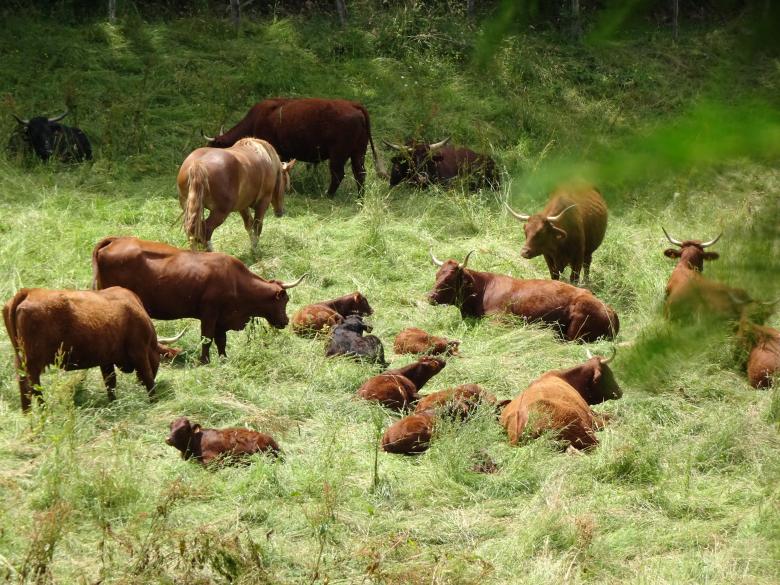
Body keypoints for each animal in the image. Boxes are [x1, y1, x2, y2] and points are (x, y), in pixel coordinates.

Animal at [3, 287, 181, 411]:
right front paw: (154, 402)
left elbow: (110, 383)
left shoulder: (106, 359)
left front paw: (113, 404)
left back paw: (27, 414)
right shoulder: (139, 351)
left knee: (23, 384)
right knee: (33, 386)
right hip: (34, 360)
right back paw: (43, 411)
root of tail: (29, 291)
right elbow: (149, 378)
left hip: (21, 359)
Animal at [91, 236, 305, 364]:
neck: (236, 281)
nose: (286, 321)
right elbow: (207, 339)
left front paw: (223, 359)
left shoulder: (222, 319)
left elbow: (221, 341)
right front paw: (205, 361)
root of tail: (116, 240)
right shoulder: (209, 314)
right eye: (284, 300)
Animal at [202, 98, 386, 195]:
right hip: (358, 152)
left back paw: (328, 195)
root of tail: (354, 105)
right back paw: (360, 197)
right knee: (360, 174)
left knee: (338, 174)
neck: (256, 119)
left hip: (338, 155)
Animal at [428, 250, 619, 342]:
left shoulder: (500, 320)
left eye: (449, 279)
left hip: (577, 325)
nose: (429, 296)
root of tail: (611, 310)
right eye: (436, 275)